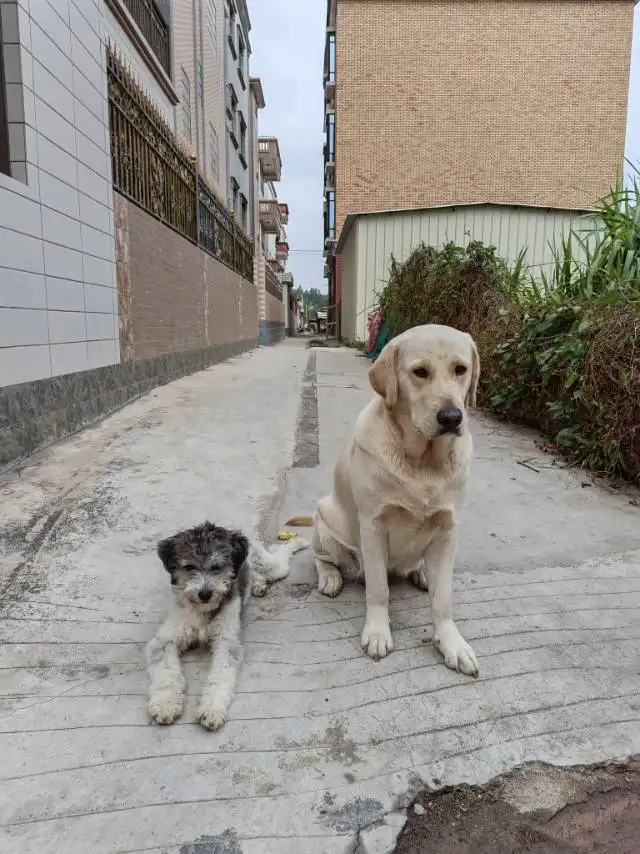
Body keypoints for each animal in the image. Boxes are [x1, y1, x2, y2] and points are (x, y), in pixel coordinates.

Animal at [148, 524, 308, 732]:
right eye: (189, 566)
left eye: (216, 566)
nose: (205, 594)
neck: (204, 611)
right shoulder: (164, 640)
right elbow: (165, 671)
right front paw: (165, 704)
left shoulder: (227, 642)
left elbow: (220, 675)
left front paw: (211, 709)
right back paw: (258, 583)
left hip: (270, 566)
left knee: (280, 555)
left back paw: (296, 543)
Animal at [312, 324, 478, 680]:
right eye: (420, 372)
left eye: (461, 369)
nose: (451, 417)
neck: (423, 461)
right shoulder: (373, 526)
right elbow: (378, 589)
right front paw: (377, 632)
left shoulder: (448, 530)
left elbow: (443, 600)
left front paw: (452, 643)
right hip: (326, 519)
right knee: (323, 558)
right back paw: (331, 577)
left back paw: (422, 573)